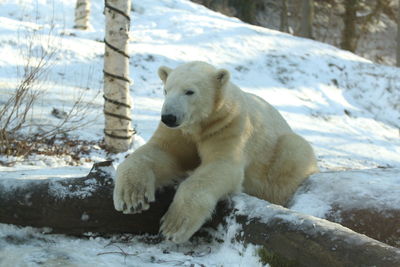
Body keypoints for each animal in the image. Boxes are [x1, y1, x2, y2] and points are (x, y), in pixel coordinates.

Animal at [113, 61, 318, 245]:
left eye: (189, 91)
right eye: (166, 90)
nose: (169, 117)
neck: (201, 125)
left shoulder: (228, 126)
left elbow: (220, 165)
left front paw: (173, 226)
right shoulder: (180, 133)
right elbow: (162, 152)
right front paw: (132, 198)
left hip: (283, 151)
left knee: (292, 153)